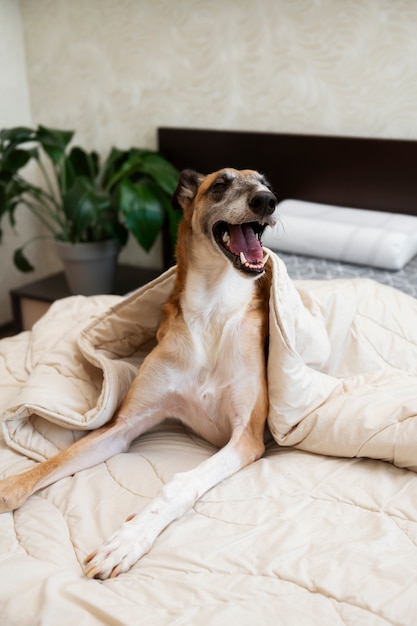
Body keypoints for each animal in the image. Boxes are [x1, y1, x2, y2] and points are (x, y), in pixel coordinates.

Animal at [0, 168, 276, 576]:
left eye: (266, 183)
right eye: (220, 184)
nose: (266, 201)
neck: (213, 311)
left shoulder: (247, 439)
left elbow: (181, 483)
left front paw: (126, 541)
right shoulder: (122, 427)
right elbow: (55, 461)